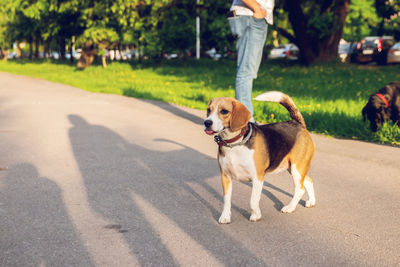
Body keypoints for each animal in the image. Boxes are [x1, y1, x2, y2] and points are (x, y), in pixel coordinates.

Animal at [203, 92, 316, 224]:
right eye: (208, 110)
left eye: (224, 111)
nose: (207, 123)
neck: (235, 143)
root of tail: (297, 123)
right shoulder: (225, 176)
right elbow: (226, 200)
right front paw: (225, 216)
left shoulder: (257, 177)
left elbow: (253, 200)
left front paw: (256, 215)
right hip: (293, 167)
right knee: (308, 181)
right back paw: (311, 201)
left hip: (296, 168)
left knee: (300, 189)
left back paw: (290, 207)